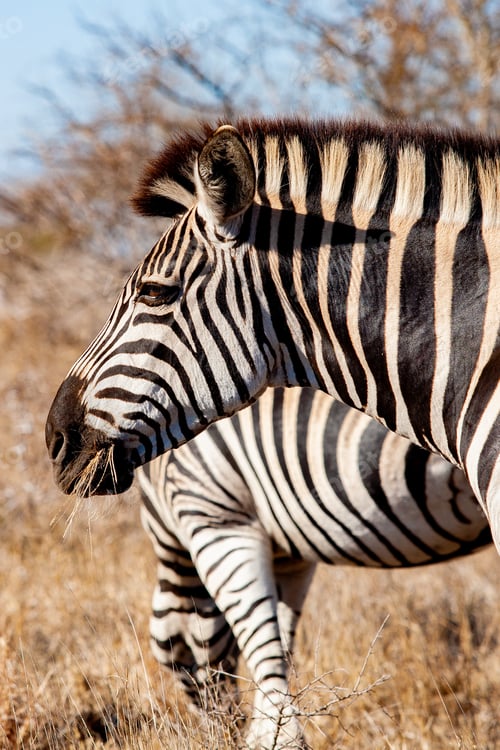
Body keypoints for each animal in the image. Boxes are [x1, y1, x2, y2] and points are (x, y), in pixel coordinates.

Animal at [140, 386, 490, 747]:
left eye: (177, 655)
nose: (224, 733)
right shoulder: (288, 549)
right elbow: (280, 642)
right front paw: (270, 733)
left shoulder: (215, 512)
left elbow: (258, 639)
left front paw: (275, 738)